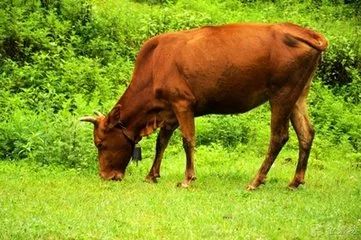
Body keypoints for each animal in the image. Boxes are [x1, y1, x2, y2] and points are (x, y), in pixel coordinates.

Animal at [81, 23, 326, 190]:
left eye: (100, 143)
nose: (105, 176)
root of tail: (303, 33)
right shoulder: (169, 112)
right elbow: (161, 143)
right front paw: (152, 175)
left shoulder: (182, 104)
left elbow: (187, 140)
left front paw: (187, 179)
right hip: (298, 96)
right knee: (306, 133)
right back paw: (295, 181)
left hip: (282, 94)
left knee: (279, 136)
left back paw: (256, 181)